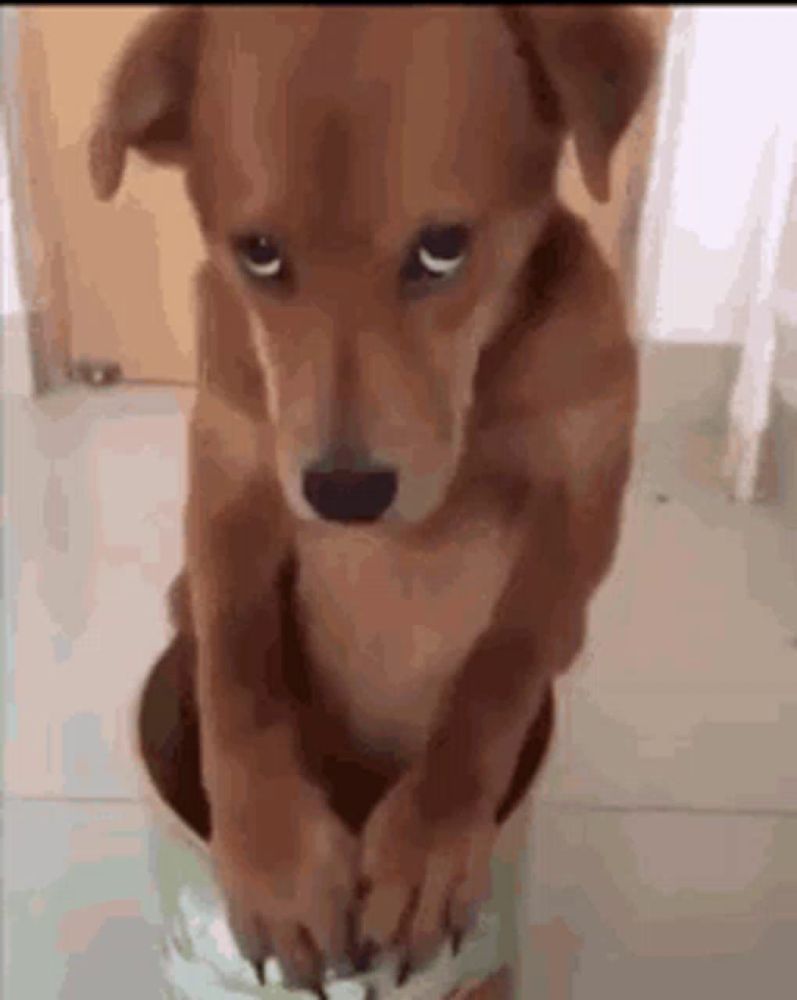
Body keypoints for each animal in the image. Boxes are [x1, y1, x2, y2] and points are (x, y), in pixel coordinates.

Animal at [91, 5, 652, 992]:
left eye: (443, 247)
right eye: (259, 254)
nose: (344, 492)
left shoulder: (581, 503)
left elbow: (499, 667)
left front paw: (427, 844)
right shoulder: (231, 474)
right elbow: (237, 664)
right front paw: (274, 857)